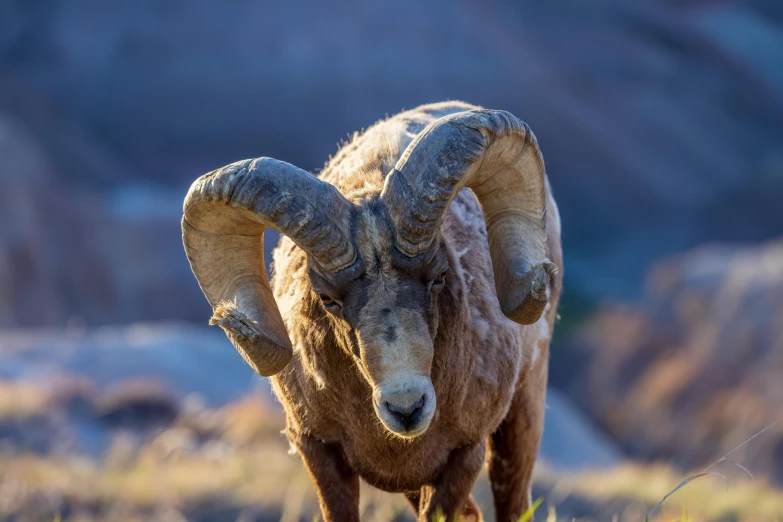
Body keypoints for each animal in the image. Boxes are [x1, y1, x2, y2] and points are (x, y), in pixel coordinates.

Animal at [184, 102, 564, 520]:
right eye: (327, 298)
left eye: (439, 276)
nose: (407, 408)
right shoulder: (318, 452)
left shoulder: (464, 455)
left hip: (521, 419)